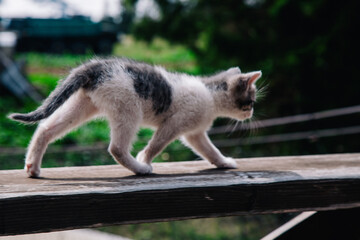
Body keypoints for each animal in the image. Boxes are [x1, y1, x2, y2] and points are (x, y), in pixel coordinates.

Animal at [8, 57, 262, 178]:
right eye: (250, 101)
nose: (251, 112)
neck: (210, 94)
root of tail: (95, 67)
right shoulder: (174, 124)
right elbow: (156, 144)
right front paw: (145, 158)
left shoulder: (195, 133)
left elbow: (210, 150)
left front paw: (224, 162)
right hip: (128, 108)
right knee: (117, 148)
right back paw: (139, 168)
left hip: (82, 105)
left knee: (45, 129)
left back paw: (32, 167)